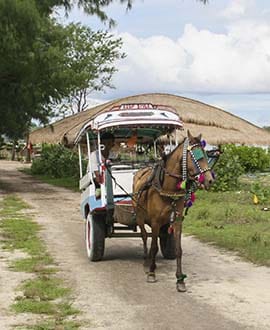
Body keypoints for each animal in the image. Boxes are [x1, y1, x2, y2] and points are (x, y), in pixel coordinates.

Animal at [132, 130, 215, 292]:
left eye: (205, 154)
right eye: (194, 156)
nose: (209, 180)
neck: (167, 188)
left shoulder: (176, 221)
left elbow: (178, 250)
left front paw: (180, 279)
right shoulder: (155, 221)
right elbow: (153, 246)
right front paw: (151, 273)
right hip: (139, 215)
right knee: (144, 237)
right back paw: (146, 261)